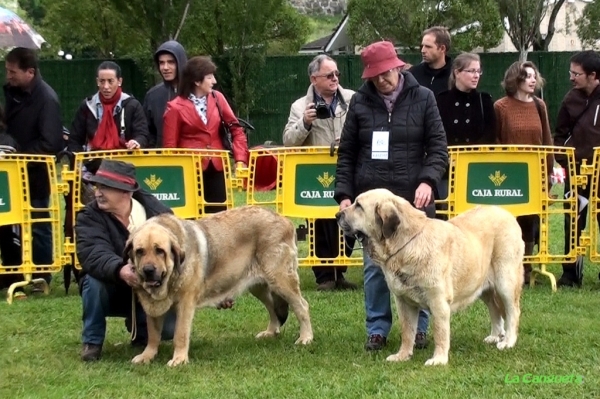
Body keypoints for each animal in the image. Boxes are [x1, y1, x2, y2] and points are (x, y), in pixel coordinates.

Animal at [122, 208, 314, 368]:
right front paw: (147, 355)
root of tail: (285, 220)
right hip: (259, 285)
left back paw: (305, 337)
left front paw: (179, 359)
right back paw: (271, 332)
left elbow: (180, 334)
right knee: (273, 307)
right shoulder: (153, 307)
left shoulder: (185, 303)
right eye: (139, 251)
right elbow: (153, 334)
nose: (148, 270)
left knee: (302, 306)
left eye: (160, 251)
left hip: (280, 280)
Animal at [338, 189, 524, 368]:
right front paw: (402, 356)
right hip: (482, 284)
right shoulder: (403, 302)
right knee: (494, 309)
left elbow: (440, 332)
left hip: (505, 280)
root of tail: (506, 213)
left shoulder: (438, 301)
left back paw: (508, 341)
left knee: (513, 311)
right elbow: (407, 331)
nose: (338, 214)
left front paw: (439, 359)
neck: (405, 245)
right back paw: (495, 336)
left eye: (359, 206)